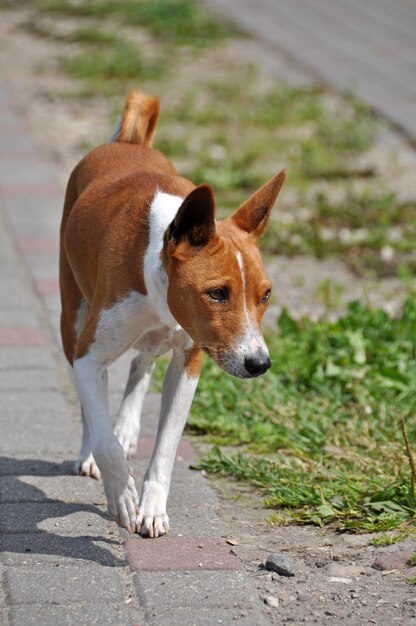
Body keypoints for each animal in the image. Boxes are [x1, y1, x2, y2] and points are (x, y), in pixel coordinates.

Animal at [59, 91, 286, 536]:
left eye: (265, 295)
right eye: (217, 293)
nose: (260, 364)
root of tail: (129, 143)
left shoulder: (189, 361)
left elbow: (165, 447)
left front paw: (151, 507)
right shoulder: (89, 356)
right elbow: (104, 437)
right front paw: (123, 495)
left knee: (140, 365)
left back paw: (129, 426)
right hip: (72, 319)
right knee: (93, 407)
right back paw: (92, 452)